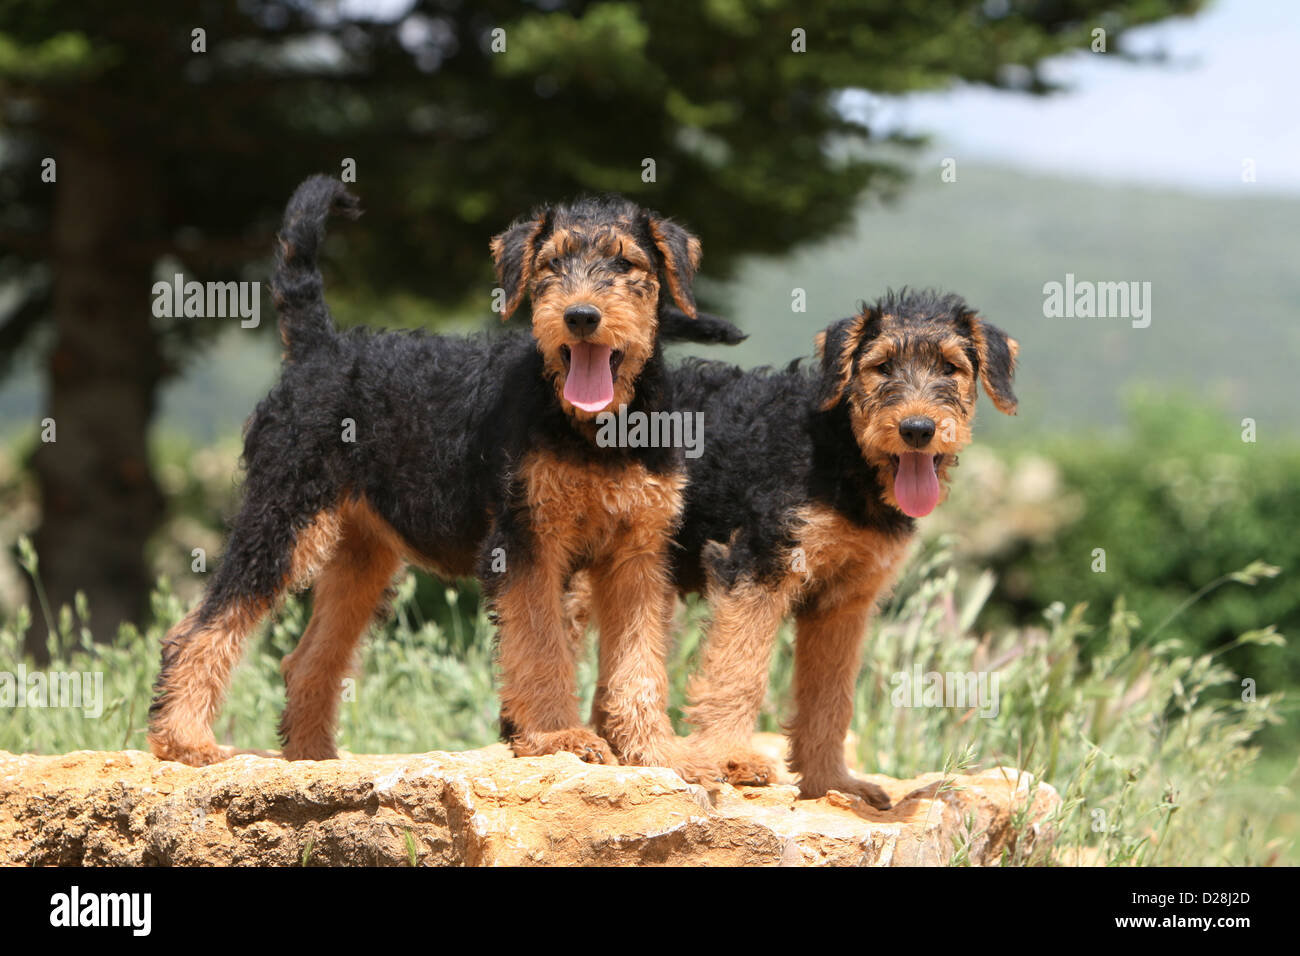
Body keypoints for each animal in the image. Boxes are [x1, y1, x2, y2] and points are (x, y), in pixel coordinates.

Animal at [152, 174, 728, 770]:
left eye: (626, 262)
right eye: (550, 263)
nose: (581, 316)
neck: (596, 431)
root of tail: (321, 348)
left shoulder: (638, 554)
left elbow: (640, 665)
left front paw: (657, 751)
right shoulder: (526, 544)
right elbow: (542, 648)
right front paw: (559, 736)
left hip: (361, 556)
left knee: (307, 659)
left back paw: (315, 760)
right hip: (280, 519)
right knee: (202, 628)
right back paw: (185, 741)